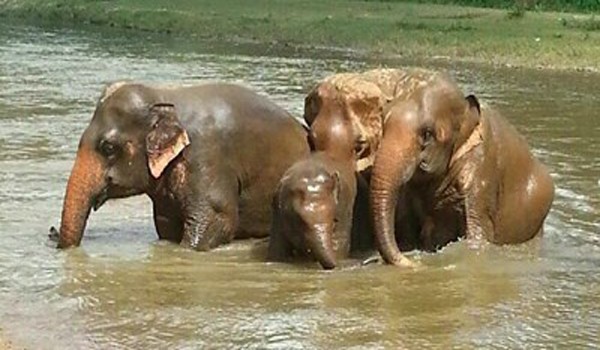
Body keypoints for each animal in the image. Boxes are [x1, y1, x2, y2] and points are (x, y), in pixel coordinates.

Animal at [52, 81, 310, 252]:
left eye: (108, 148)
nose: (52, 231)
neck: (164, 98)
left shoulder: (208, 158)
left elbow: (217, 220)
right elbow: (166, 224)